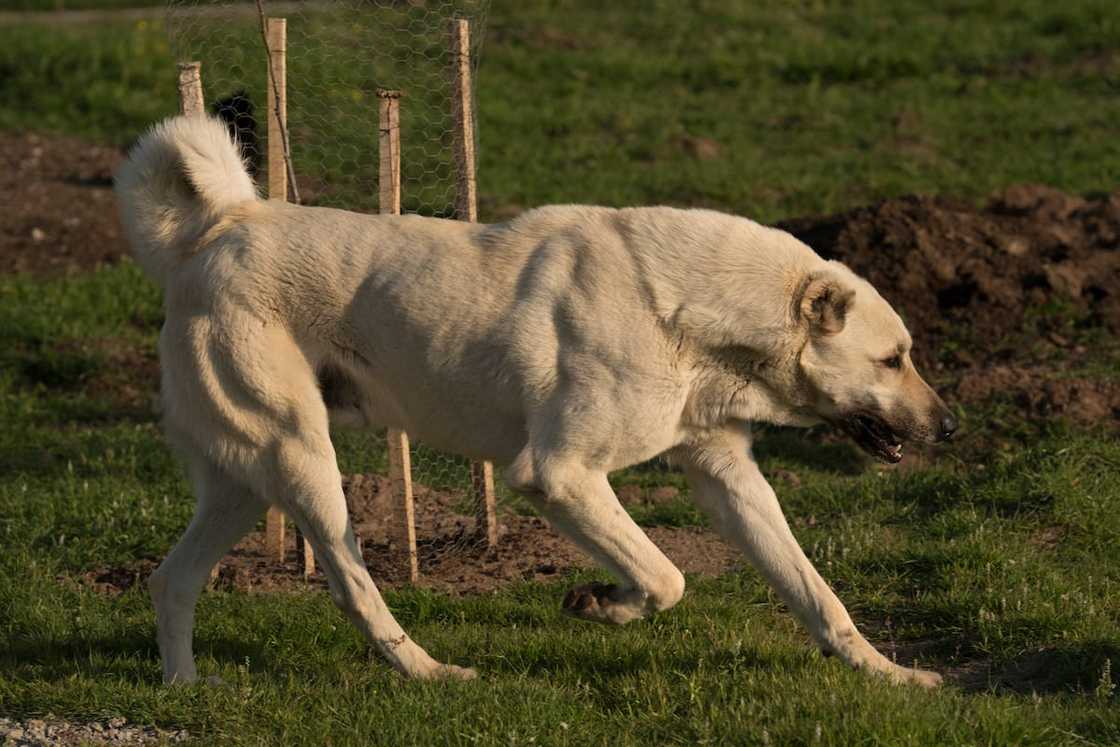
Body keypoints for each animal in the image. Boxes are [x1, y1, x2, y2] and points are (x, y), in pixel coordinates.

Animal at [111, 115, 954, 689]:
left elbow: (815, 591)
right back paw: (430, 672)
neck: (686, 311)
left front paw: (887, 673)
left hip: (245, 482)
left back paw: (184, 686)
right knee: (351, 582)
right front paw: (603, 604)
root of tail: (218, 231)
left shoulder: (729, 475)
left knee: (171, 580)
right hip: (302, 460)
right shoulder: (559, 474)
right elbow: (665, 576)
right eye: (893, 358)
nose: (951, 424)